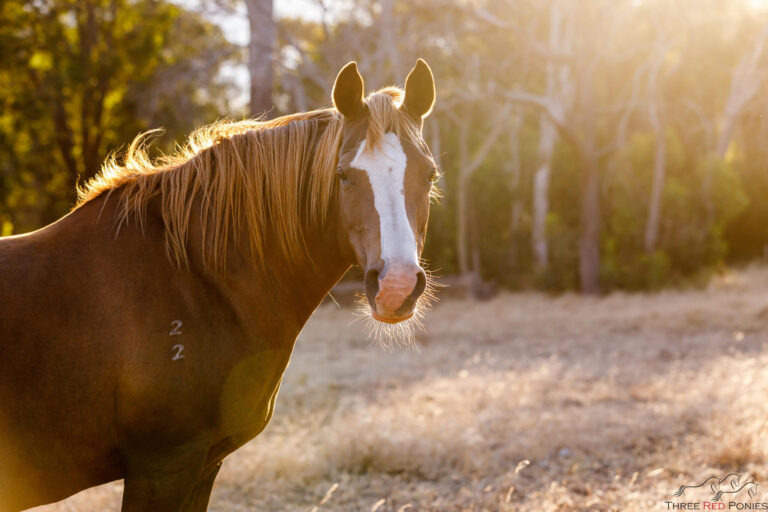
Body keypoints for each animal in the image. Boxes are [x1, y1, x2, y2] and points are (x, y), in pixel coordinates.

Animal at [0, 61, 438, 512]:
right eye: (344, 176)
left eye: (430, 174)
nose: (396, 286)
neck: (193, 278)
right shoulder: (162, 469)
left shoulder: (204, 465)